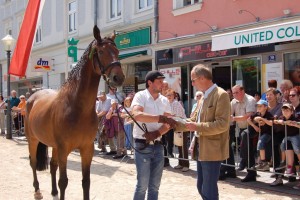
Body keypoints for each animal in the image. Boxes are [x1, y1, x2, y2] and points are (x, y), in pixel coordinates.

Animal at [24, 25, 125, 200]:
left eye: (117, 51)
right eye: (101, 51)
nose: (118, 77)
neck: (78, 108)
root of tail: (33, 96)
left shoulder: (87, 149)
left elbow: (86, 181)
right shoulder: (64, 149)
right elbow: (63, 181)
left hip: (53, 145)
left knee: (52, 166)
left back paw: (53, 192)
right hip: (33, 140)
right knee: (33, 162)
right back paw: (37, 191)